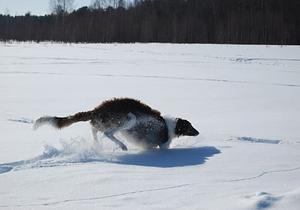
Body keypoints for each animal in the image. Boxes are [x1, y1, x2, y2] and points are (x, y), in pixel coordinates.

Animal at [34, 97, 199, 150]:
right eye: (190, 126)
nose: (198, 132)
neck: (170, 126)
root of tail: (96, 110)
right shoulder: (162, 144)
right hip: (128, 120)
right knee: (108, 133)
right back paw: (122, 146)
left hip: (102, 123)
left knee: (95, 130)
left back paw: (98, 145)